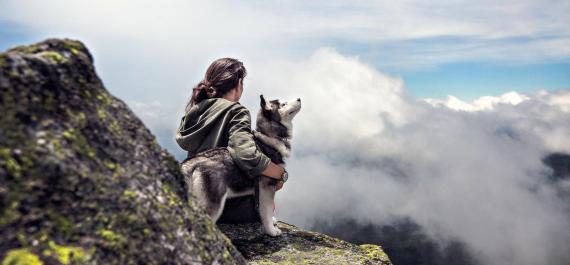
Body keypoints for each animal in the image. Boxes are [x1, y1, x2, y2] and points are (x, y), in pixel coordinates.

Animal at [180, 94, 300, 235]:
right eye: (283, 104)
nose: (299, 99)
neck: (268, 138)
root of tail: (192, 162)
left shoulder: (259, 192)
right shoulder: (266, 187)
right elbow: (267, 211)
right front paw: (271, 231)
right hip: (214, 203)